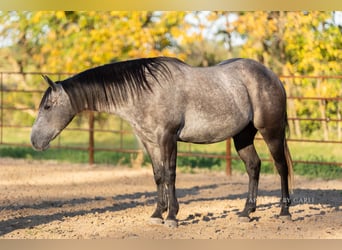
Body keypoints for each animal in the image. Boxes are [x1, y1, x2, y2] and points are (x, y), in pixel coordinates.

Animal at [30, 56, 292, 227]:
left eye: (48, 106)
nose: (34, 141)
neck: (145, 92)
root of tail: (272, 76)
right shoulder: (149, 141)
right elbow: (158, 176)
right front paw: (157, 214)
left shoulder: (168, 138)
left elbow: (170, 174)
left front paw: (172, 217)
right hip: (243, 136)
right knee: (253, 166)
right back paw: (247, 212)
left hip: (272, 132)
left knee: (281, 167)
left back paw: (284, 211)